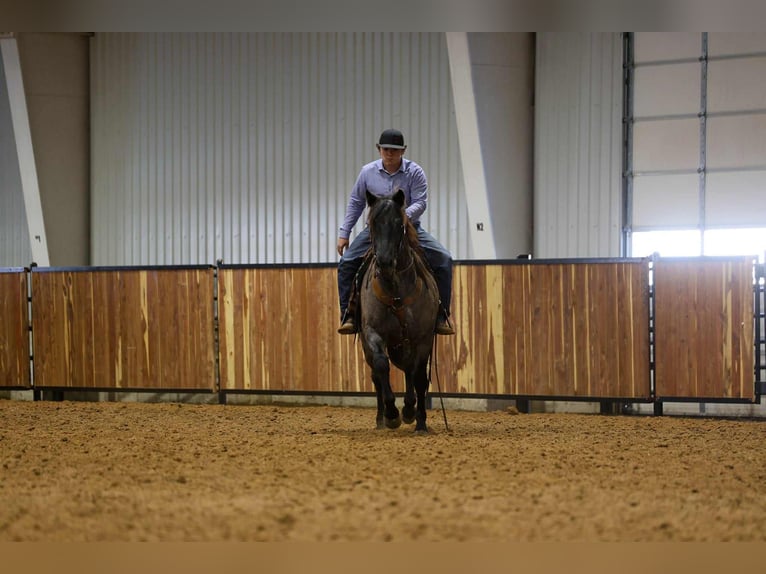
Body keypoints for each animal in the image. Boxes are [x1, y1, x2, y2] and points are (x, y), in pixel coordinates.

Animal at [358, 189, 440, 433]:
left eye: (399, 223)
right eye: (373, 223)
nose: (385, 262)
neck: (395, 289)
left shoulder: (423, 338)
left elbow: (419, 376)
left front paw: (417, 417)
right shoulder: (373, 333)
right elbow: (382, 366)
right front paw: (392, 414)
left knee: (409, 371)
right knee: (377, 374)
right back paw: (381, 419)